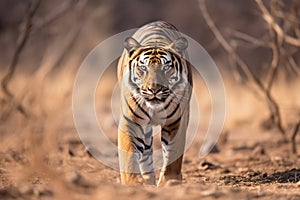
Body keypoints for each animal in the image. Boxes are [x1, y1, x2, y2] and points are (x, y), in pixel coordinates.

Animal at [117, 20, 192, 186]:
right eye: (143, 68)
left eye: (166, 67)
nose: (154, 89)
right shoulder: (131, 121)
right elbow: (129, 154)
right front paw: (133, 182)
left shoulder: (176, 122)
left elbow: (172, 158)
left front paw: (170, 182)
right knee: (145, 153)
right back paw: (147, 180)